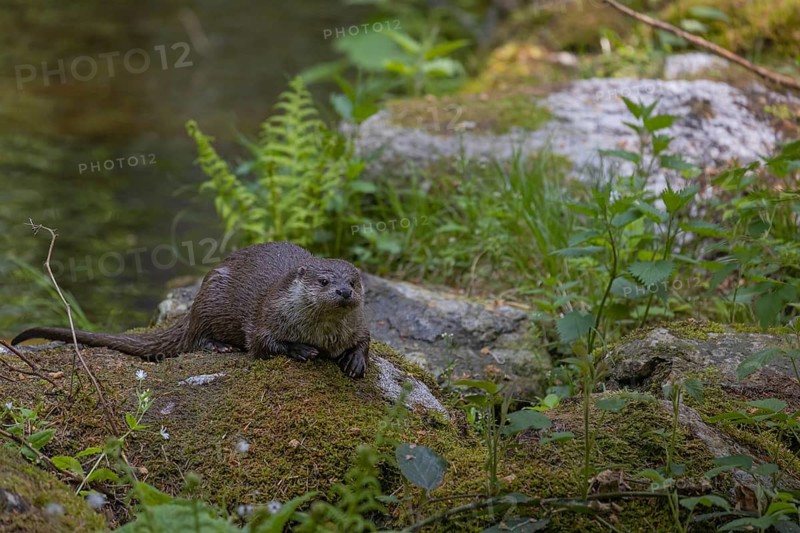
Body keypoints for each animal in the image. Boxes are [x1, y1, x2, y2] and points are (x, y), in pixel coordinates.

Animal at [12, 242, 370, 378]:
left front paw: (354, 360)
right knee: (198, 335)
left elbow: (365, 339)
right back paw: (219, 345)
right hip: (211, 299)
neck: (320, 333)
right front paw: (302, 349)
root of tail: (194, 304)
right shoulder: (266, 316)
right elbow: (263, 344)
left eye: (354, 281)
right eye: (324, 280)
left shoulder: (358, 325)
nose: (343, 290)